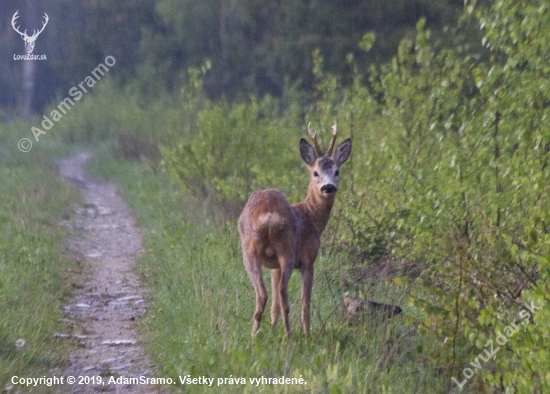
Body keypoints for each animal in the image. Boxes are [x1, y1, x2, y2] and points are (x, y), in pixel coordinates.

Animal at [238, 121, 354, 338]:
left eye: (337, 171)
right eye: (315, 172)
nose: (328, 187)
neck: (311, 217)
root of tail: (269, 214)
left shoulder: (273, 267)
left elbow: (274, 305)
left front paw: (273, 329)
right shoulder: (308, 259)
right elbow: (305, 302)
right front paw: (307, 334)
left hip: (251, 251)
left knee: (264, 294)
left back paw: (255, 335)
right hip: (287, 251)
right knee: (282, 293)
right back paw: (289, 337)